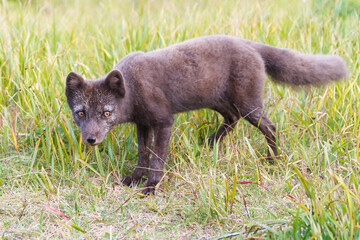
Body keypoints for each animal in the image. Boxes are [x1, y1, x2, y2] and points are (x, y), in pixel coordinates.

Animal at [64, 35, 346, 194]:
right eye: (81, 113)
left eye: (106, 113)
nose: (90, 140)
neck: (133, 87)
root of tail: (249, 44)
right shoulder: (143, 124)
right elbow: (143, 153)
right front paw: (135, 178)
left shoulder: (163, 121)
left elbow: (157, 157)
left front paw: (151, 186)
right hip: (218, 101)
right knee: (231, 120)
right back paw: (209, 145)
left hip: (248, 105)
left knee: (270, 126)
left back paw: (273, 160)